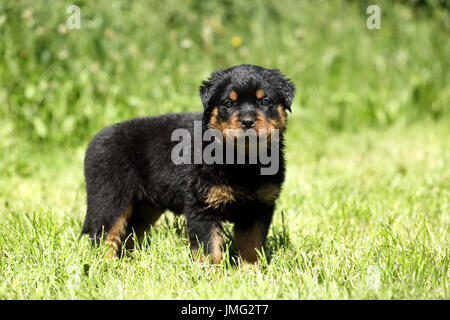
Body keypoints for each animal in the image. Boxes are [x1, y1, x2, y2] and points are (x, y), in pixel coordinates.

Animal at [81, 63, 296, 264]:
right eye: (228, 103)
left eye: (265, 101)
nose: (247, 121)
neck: (243, 161)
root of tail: (94, 140)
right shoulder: (201, 205)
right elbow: (210, 248)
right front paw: (211, 274)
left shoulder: (259, 207)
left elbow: (251, 247)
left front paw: (251, 273)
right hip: (110, 198)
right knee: (105, 235)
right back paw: (106, 266)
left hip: (145, 206)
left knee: (130, 235)